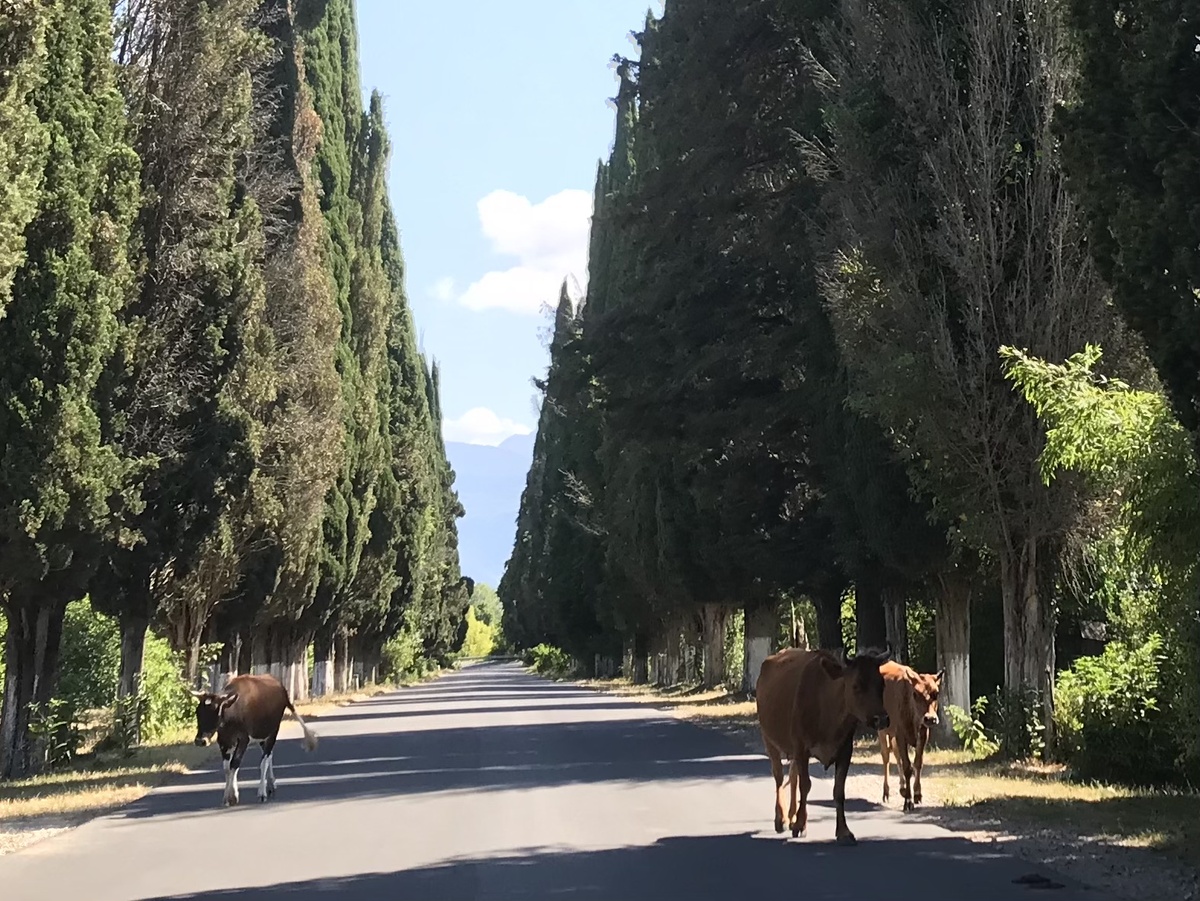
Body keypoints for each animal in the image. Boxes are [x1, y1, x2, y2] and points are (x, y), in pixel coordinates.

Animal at [190, 671, 316, 806]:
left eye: (216, 712)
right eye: (198, 712)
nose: (200, 741)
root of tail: (281, 687)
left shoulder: (243, 739)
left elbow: (235, 763)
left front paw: (232, 796)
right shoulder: (224, 740)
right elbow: (227, 768)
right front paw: (227, 796)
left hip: (273, 731)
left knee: (265, 760)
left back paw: (262, 792)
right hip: (261, 734)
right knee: (269, 755)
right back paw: (271, 784)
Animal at [758, 647, 892, 844]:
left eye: (881, 684)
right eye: (856, 685)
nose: (881, 719)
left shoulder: (845, 750)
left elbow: (839, 791)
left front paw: (844, 831)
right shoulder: (801, 748)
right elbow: (805, 785)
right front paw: (800, 825)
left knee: (792, 775)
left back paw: (791, 816)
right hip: (769, 739)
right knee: (779, 776)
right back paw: (781, 819)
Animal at [878, 657, 940, 815]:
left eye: (936, 693)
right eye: (916, 694)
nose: (930, 718)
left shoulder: (923, 734)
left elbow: (918, 763)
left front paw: (917, 794)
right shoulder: (901, 735)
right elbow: (907, 767)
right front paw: (908, 802)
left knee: (896, 755)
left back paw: (902, 788)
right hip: (882, 730)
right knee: (886, 756)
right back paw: (886, 792)